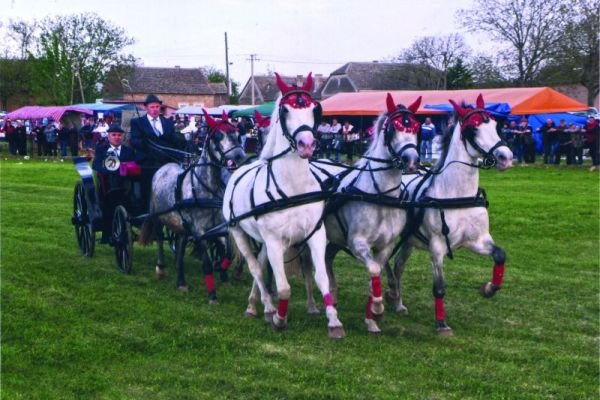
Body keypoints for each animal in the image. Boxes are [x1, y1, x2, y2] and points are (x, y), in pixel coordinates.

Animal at [223, 72, 344, 338]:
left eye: (314, 109)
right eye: (285, 110)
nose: (307, 144)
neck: (293, 188)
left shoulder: (315, 235)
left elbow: (321, 278)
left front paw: (334, 321)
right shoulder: (274, 240)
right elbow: (284, 287)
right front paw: (280, 318)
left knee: (260, 264)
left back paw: (256, 304)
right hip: (240, 232)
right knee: (255, 267)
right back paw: (266, 307)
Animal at [318, 94, 422, 334]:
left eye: (416, 126)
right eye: (393, 128)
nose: (411, 160)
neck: (379, 196)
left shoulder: (386, 245)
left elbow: (374, 276)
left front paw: (372, 319)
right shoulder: (357, 242)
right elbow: (374, 270)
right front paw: (378, 308)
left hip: (335, 237)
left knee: (327, 255)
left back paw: (333, 291)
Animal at [386, 94, 512, 334]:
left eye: (495, 125)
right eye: (473, 129)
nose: (506, 157)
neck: (456, 195)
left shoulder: (478, 240)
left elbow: (500, 255)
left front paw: (488, 288)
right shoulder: (437, 247)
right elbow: (439, 287)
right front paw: (441, 324)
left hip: (409, 240)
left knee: (397, 266)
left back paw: (397, 302)